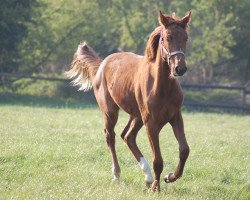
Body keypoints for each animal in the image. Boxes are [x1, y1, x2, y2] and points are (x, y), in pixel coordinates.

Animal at [66, 11, 191, 192]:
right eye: (168, 37)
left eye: (186, 38)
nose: (179, 69)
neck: (163, 86)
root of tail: (103, 63)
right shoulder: (151, 123)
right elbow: (158, 160)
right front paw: (156, 188)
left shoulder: (176, 117)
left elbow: (184, 150)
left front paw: (170, 177)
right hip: (111, 112)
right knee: (110, 136)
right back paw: (117, 174)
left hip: (136, 116)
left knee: (128, 136)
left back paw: (147, 176)